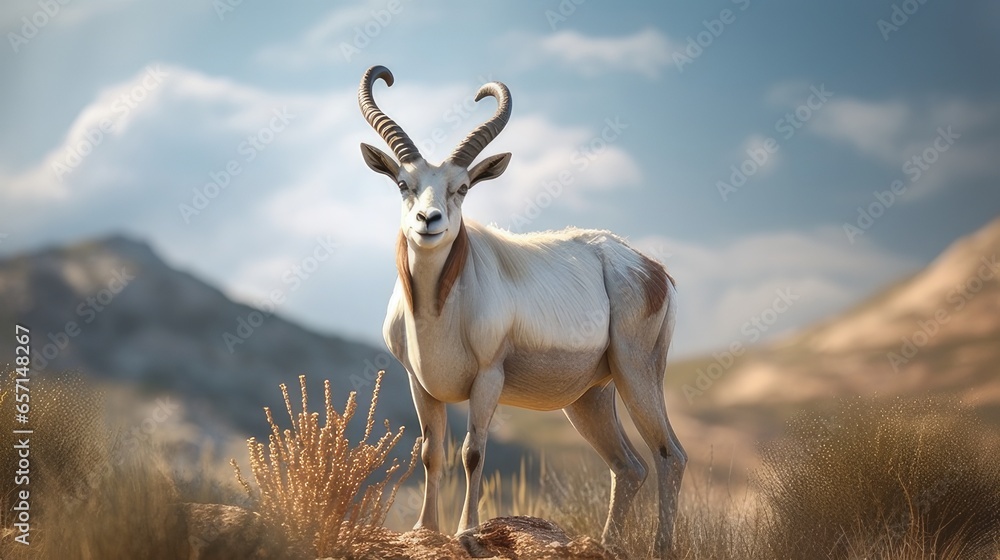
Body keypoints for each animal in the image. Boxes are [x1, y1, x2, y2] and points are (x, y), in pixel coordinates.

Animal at [358, 65, 686, 557]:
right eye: (403, 184)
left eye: (462, 187)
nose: (429, 221)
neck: (438, 309)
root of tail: (652, 269)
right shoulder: (422, 385)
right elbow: (431, 452)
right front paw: (425, 530)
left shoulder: (487, 379)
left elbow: (472, 452)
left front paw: (466, 533)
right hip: (590, 397)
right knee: (629, 467)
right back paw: (607, 544)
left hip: (637, 374)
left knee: (669, 455)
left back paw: (659, 548)